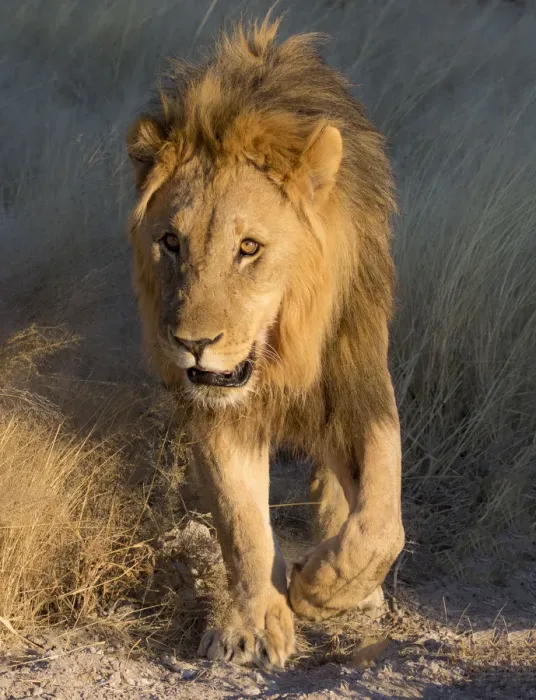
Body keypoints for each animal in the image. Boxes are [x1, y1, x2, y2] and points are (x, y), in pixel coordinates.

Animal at [126, 17, 404, 670]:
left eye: (248, 248)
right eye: (170, 242)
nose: (193, 343)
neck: (282, 354)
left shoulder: (357, 382)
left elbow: (382, 518)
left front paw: (323, 589)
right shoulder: (216, 408)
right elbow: (241, 520)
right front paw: (251, 626)